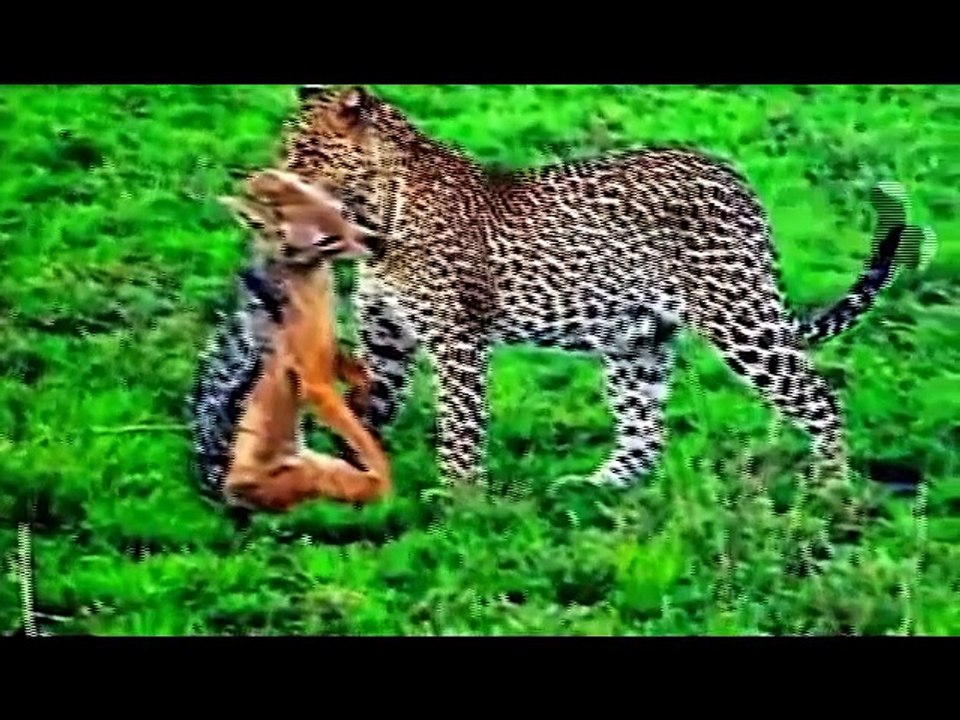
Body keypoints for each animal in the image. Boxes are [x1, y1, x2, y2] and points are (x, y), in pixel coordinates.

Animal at [278, 84, 908, 497]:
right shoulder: (386, 341)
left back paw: (831, 492)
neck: (373, 218)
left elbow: (460, 426)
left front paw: (460, 503)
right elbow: (365, 411)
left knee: (818, 396)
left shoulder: (457, 339)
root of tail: (734, 177)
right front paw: (344, 480)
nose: (272, 181)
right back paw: (593, 491)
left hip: (738, 315)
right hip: (638, 342)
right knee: (644, 432)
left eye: (304, 153)